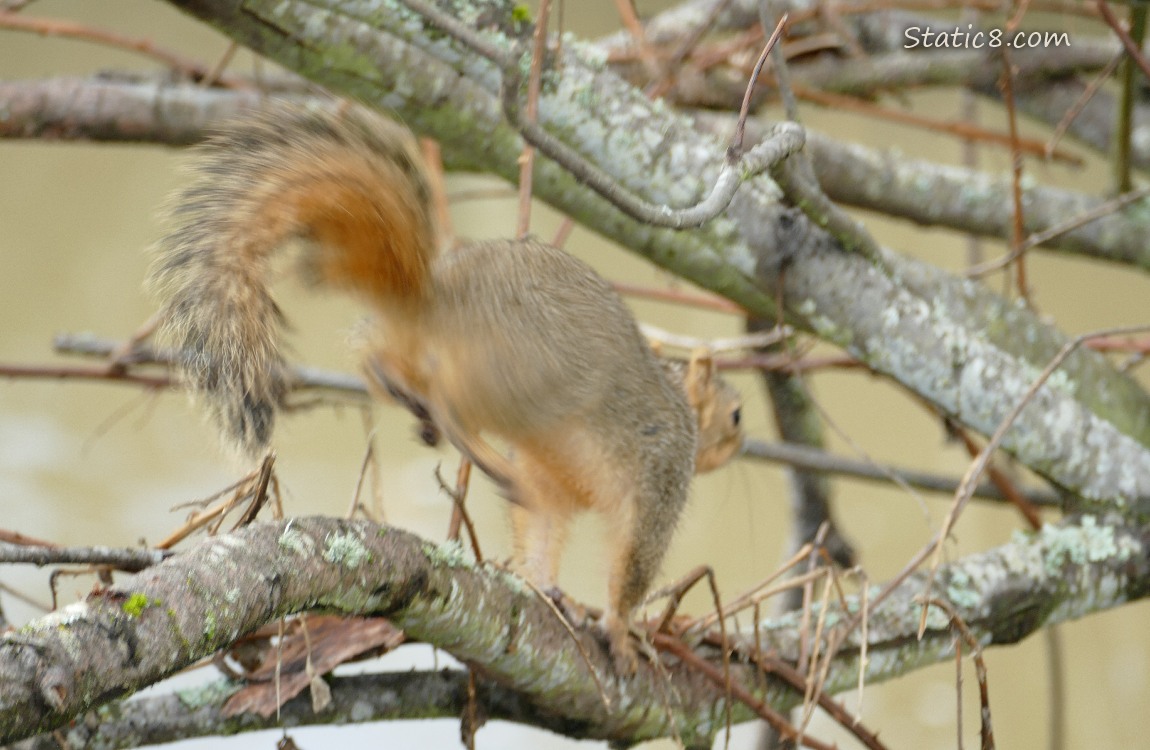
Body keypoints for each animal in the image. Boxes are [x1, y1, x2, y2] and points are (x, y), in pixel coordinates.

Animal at [150, 102, 739, 671]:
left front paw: (553, 593)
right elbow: (634, 560)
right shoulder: (661, 469)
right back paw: (471, 446)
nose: (736, 448)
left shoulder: (553, 482)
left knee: (374, 358)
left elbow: (542, 527)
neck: (680, 402)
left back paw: (413, 403)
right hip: (516, 379)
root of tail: (431, 300)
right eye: (735, 415)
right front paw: (620, 632)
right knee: (452, 405)